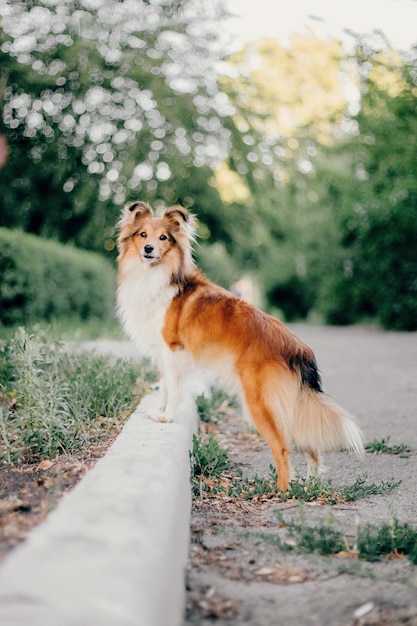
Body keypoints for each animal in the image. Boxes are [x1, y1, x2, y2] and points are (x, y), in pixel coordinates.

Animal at [115, 200, 362, 488]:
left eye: (163, 237)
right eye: (142, 234)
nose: (148, 249)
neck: (157, 276)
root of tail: (299, 348)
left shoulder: (173, 349)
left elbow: (173, 388)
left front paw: (167, 416)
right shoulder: (166, 352)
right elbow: (165, 386)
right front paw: (159, 412)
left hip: (259, 402)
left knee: (283, 447)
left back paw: (282, 491)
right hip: (289, 406)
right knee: (310, 447)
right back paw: (309, 487)